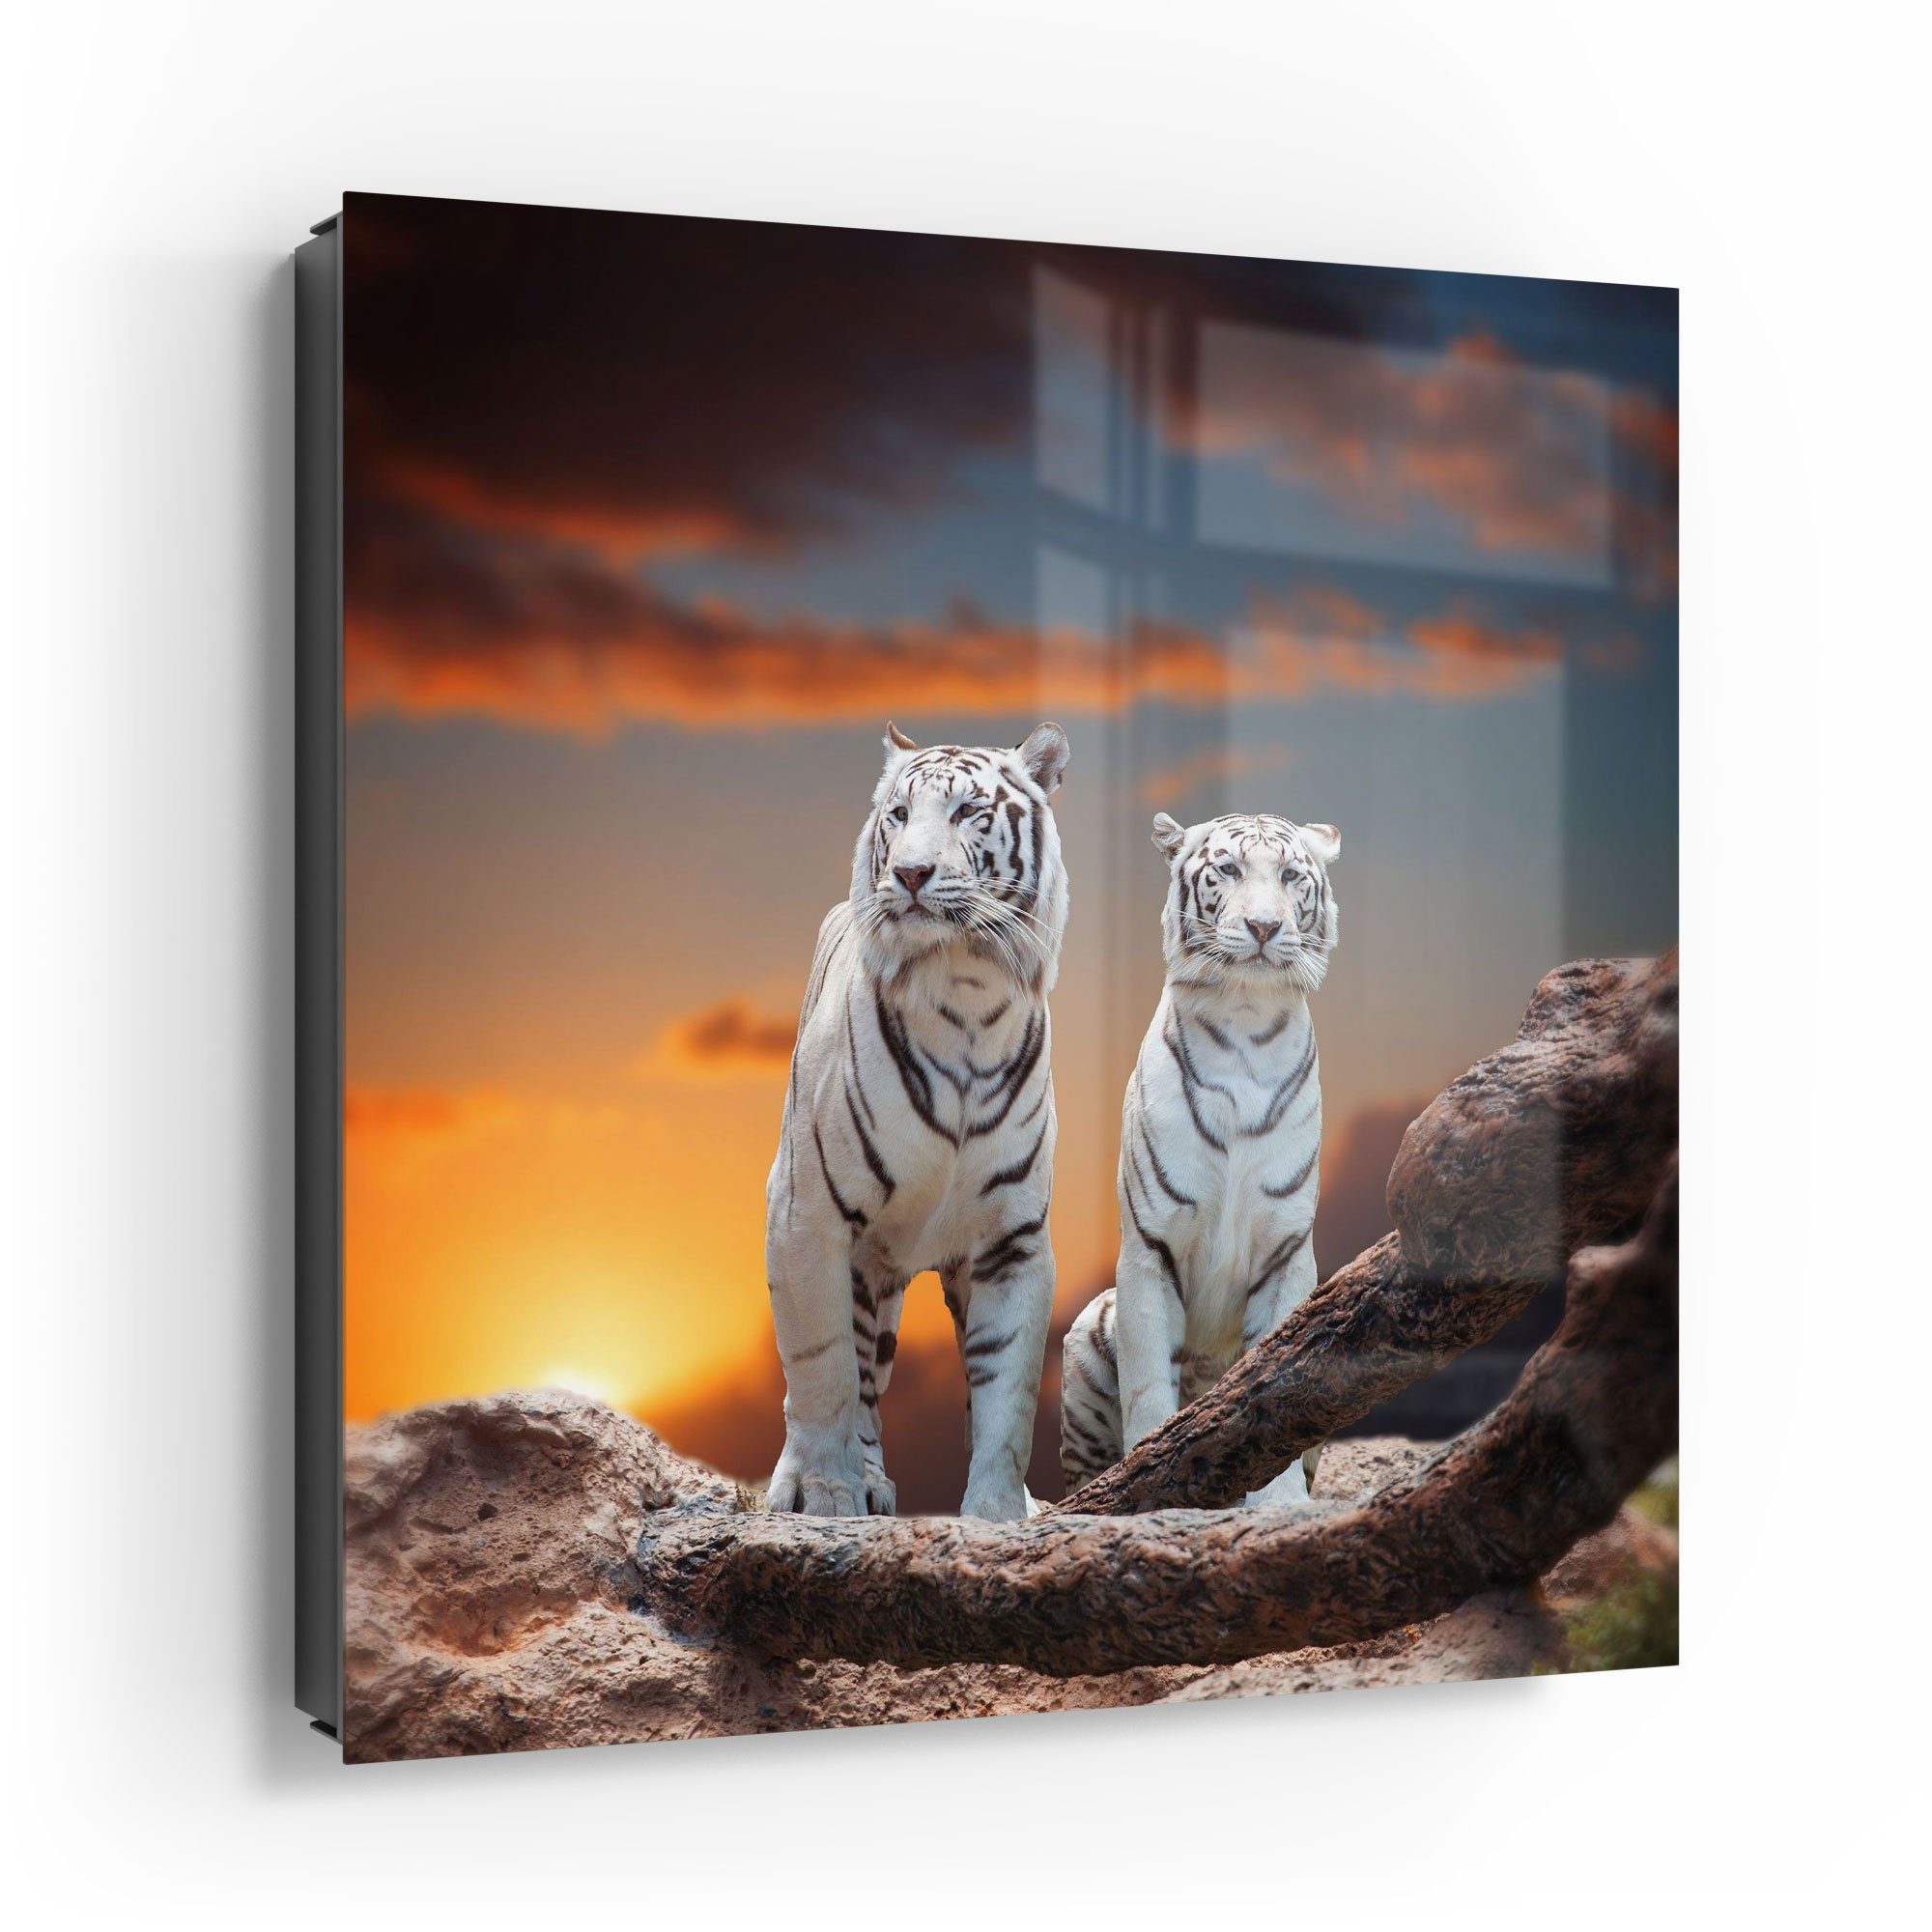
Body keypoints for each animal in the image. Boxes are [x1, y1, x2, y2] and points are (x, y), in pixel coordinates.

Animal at [764, 719, 1071, 1520]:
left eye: (968, 812)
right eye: (898, 815)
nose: (909, 874)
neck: (965, 989)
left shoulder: (1013, 1239)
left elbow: (1007, 1392)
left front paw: (999, 1513)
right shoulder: (806, 1214)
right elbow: (823, 1371)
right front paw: (826, 1494)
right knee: (855, 1376)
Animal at [1059, 809, 1340, 1507]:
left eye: (1290, 876)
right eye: (1229, 870)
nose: (1264, 926)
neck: (1245, 1023)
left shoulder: (1287, 1252)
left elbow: (1280, 1380)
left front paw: (1279, 1503)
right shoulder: (1148, 1248)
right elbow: (1147, 1386)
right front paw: (1147, 1478)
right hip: (1087, 1331)